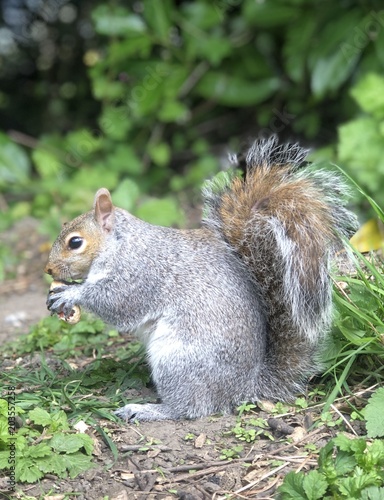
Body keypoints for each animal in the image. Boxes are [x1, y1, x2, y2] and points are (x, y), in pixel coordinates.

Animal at [45, 137, 360, 422]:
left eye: (75, 242)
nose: (48, 269)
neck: (119, 244)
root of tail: (242, 388)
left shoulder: (140, 272)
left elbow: (118, 303)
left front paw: (71, 294)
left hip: (177, 361)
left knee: (191, 408)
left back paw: (149, 410)